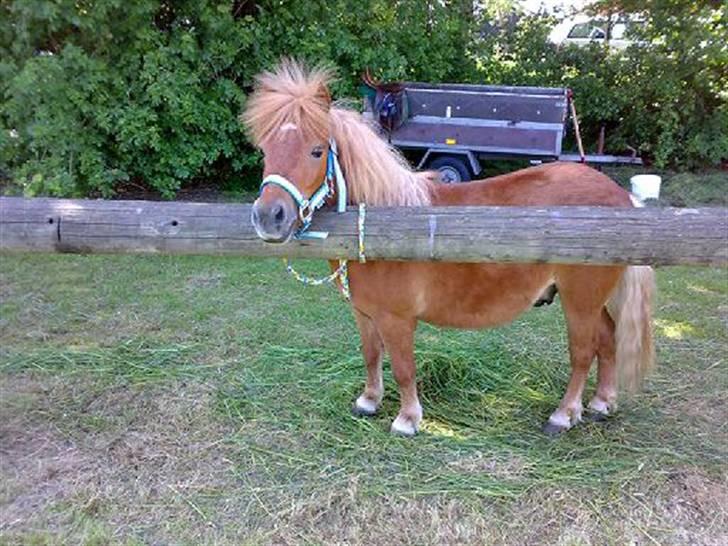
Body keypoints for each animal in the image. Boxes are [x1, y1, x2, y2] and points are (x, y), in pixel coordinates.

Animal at [243, 60, 656, 434]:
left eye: (316, 151)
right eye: (265, 149)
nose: (269, 217)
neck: (382, 223)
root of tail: (622, 198)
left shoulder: (397, 319)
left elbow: (403, 367)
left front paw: (407, 419)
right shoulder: (364, 314)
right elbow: (371, 355)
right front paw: (369, 401)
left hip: (580, 300)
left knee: (584, 352)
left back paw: (564, 414)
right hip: (593, 300)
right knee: (608, 341)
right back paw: (601, 403)